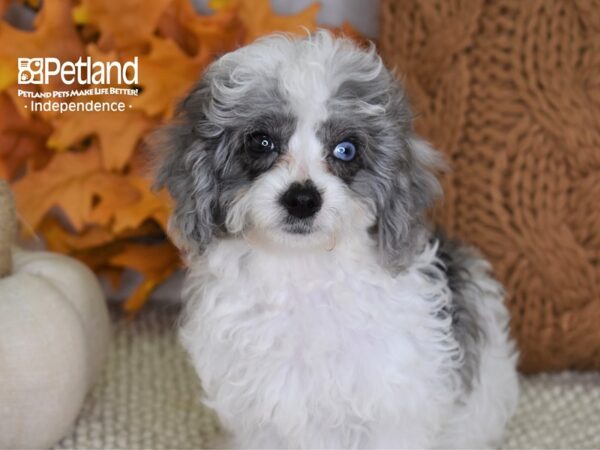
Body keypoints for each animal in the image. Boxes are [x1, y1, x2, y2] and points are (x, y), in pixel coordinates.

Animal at [156, 29, 520, 448]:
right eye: (261, 142)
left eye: (346, 149)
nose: (302, 200)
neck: (301, 271)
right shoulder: (263, 415)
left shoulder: (392, 408)